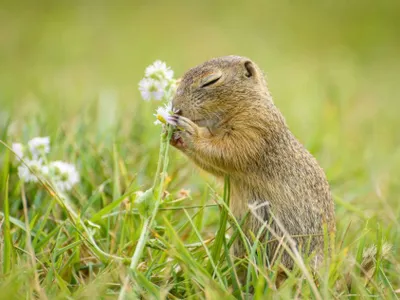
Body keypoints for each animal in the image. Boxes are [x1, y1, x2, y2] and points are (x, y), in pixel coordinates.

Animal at [167, 55, 336, 270]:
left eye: (211, 81)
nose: (176, 108)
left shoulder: (256, 127)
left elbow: (230, 150)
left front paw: (189, 132)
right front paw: (174, 135)